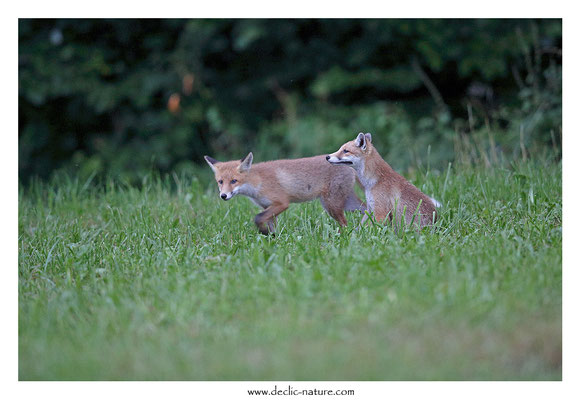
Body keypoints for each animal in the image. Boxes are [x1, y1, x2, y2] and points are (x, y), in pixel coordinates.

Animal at [205, 152, 362, 234]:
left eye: (234, 181)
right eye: (220, 182)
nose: (223, 196)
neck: (257, 182)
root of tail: (349, 166)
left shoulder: (281, 203)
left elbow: (257, 218)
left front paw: (265, 233)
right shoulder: (267, 206)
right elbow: (267, 222)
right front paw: (272, 237)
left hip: (331, 205)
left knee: (345, 223)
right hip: (346, 204)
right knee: (365, 209)